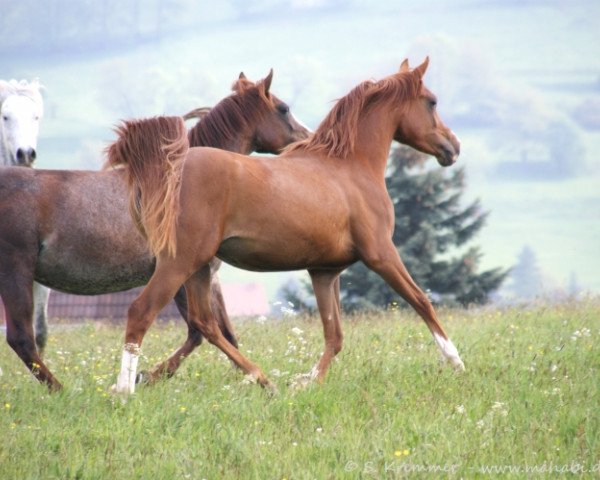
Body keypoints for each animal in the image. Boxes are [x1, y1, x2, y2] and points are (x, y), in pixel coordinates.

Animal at [0, 70, 310, 390]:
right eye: (284, 108)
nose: (307, 139)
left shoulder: (199, 275)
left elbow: (220, 333)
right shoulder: (185, 273)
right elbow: (200, 332)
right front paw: (146, 376)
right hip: (16, 271)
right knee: (22, 338)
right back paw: (62, 390)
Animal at [109, 57, 464, 394]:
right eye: (432, 102)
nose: (454, 147)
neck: (349, 167)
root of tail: (167, 171)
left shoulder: (324, 272)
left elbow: (335, 336)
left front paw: (307, 382)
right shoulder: (381, 254)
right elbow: (422, 301)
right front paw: (456, 363)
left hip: (199, 267)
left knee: (204, 324)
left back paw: (263, 380)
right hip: (179, 262)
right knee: (142, 312)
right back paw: (125, 390)